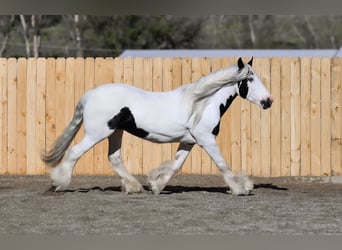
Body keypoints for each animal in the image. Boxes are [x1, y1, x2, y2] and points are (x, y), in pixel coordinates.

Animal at [42, 57, 272, 196]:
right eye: (250, 79)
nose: (268, 101)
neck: (202, 103)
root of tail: (90, 94)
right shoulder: (206, 139)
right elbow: (222, 164)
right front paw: (241, 188)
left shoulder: (189, 141)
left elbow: (176, 165)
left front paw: (156, 185)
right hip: (97, 133)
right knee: (74, 153)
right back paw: (58, 183)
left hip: (115, 132)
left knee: (114, 158)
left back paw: (134, 187)